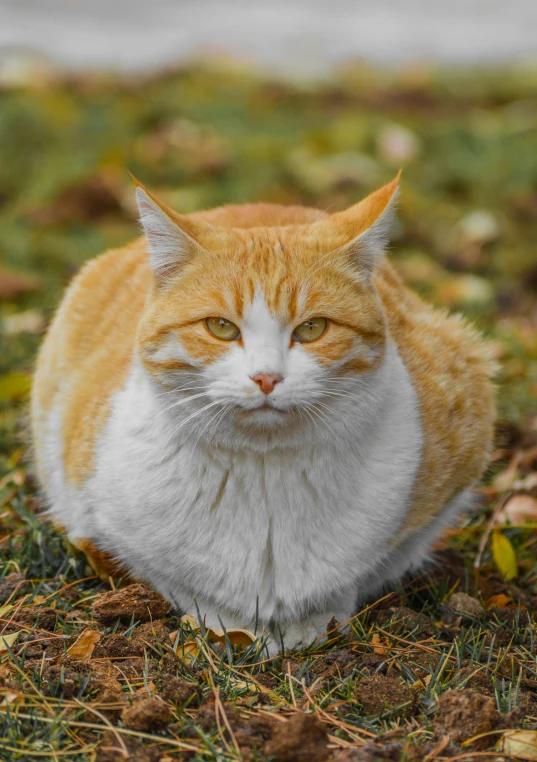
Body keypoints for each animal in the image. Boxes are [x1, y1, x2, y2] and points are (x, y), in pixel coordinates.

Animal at [31, 175, 494, 652]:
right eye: (220, 327)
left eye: (312, 328)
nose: (267, 378)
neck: (264, 471)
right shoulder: (99, 511)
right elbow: (177, 580)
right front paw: (232, 626)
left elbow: (358, 577)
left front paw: (313, 624)